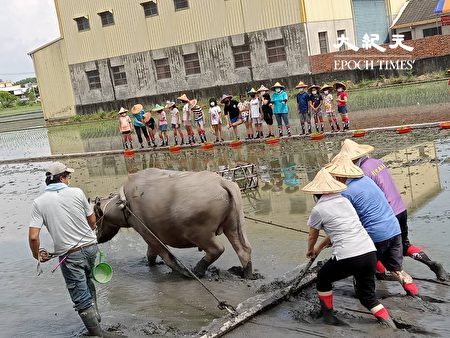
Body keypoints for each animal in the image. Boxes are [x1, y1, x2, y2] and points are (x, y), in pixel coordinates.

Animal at [94, 168, 253, 278]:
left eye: (95, 217)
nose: (97, 237)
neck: (124, 204)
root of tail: (222, 182)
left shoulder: (146, 232)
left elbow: (166, 256)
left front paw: (182, 272)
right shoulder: (151, 236)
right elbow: (150, 254)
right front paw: (150, 264)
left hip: (199, 233)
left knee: (217, 249)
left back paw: (197, 271)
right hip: (233, 225)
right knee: (243, 250)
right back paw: (248, 274)